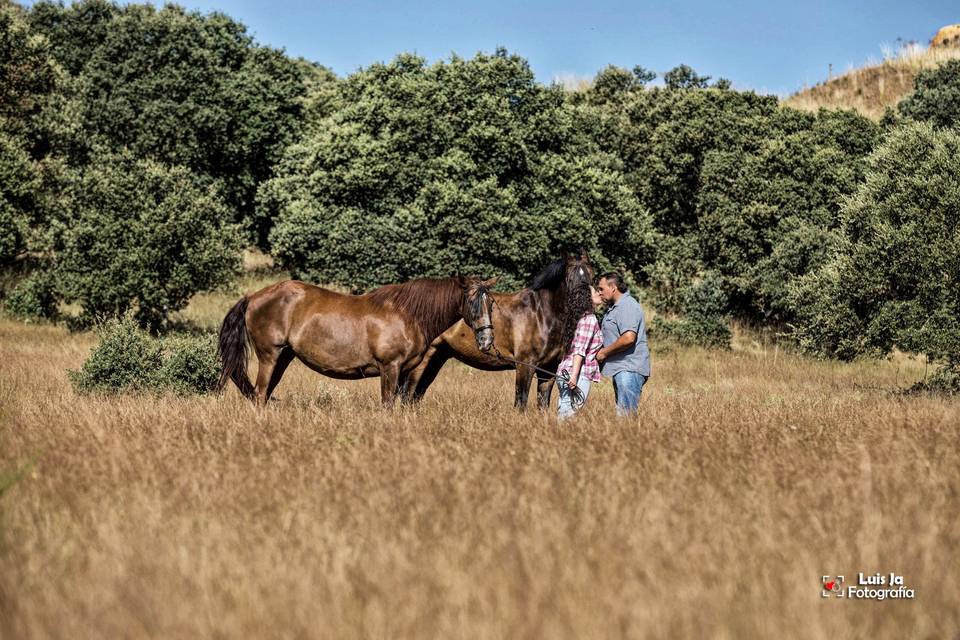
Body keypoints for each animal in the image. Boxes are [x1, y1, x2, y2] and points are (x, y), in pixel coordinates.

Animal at [219, 276, 496, 404]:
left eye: (491, 302)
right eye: (472, 301)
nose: (486, 340)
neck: (407, 314)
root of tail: (252, 297)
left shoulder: (404, 371)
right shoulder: (390, 367)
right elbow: (387, 404)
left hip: (284, 357)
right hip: (269, 355)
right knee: (259, 394)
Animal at [402, 252, 596, 408]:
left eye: (592, 275)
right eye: (569, 277)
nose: (585, 303)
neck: (541, 314)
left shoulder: (547, 370)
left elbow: (543, 404)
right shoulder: (525, 365)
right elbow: (521, 402)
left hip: (437, 357)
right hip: (423, 360)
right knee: (408, 394)